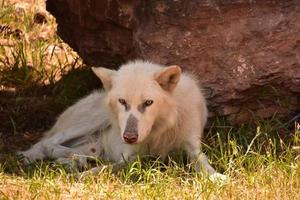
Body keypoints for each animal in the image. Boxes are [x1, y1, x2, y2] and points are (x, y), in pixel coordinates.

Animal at [17, 60, 226, 180]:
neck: (161, 130)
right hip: (94, 119)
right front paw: (82, 176)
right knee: (47, 143)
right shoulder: (130, 157)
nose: (129, 137)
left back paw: (73, 161)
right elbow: (107, 168)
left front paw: (217, 177)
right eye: (122, 101)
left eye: (148, 102)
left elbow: (203, 163)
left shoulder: (192, 147)